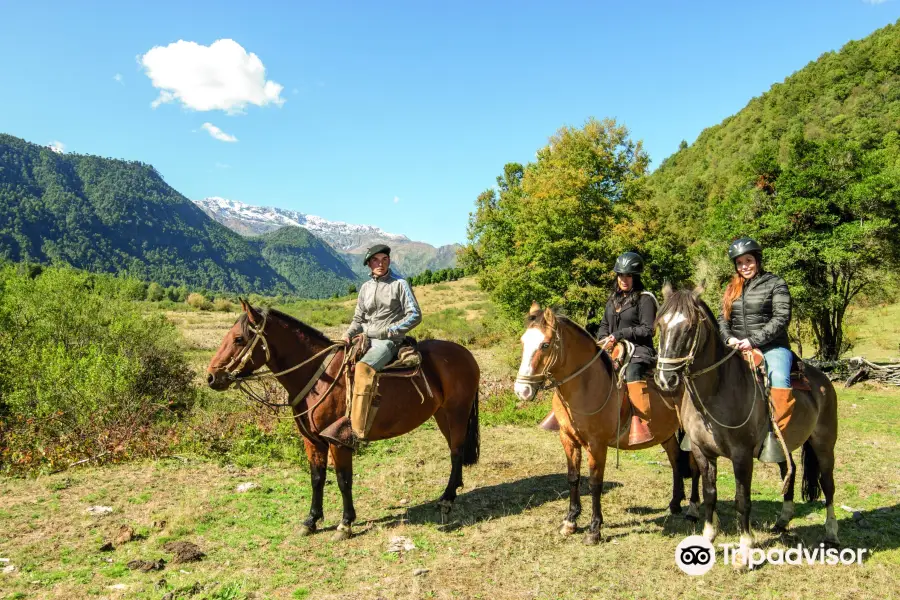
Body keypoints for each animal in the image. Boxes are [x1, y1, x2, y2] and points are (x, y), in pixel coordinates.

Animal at [207, 300, 482, 540]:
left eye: (239, 339)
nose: (211, 377)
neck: (317, 376)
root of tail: (464, 353)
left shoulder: (338, 441)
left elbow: (343, 480)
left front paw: (345, 523)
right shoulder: (312, 441)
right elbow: (317, 478)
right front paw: (311, 521)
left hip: (458, 412)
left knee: (456, 451)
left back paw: (447, 498)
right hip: (442, 414)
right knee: (454, 450)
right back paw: (453, 491)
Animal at [512, 304, 696, 544]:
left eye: (545, 344)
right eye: (523, 342)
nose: (521, 391)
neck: (585, 385)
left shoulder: (596, 445)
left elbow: (594, 483)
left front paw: (594, 529)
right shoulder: (568, 439)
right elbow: (573, 478)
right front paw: (570, 521)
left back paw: (693, 510)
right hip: (666, 434)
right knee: (675, 461)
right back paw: (675, 503)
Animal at [652, 288, 840, 568]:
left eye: (690, 327)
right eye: (660, 326)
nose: (666, 379)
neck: (717, 390)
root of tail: (823, 380)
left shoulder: (741, 455)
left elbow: (742, 500)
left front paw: (744, 551)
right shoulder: (701, 452)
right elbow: (709, 494)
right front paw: (707, 538)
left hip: (824, 445)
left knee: (828, 484)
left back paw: (831, 533)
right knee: (790, 470)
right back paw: (783, 520)